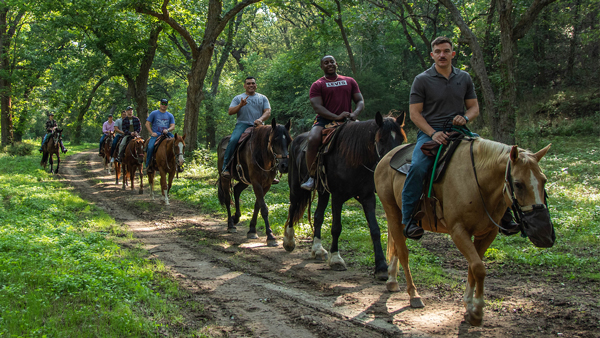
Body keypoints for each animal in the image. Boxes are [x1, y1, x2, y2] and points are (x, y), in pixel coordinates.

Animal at [282, 111, 406, 278]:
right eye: (381, 139)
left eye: (400, 140)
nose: (392, 168)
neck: (354, 158)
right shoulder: (338, 197)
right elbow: (336, 227)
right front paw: (336, 259)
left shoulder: (368, 197)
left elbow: (375, 229)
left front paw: (381, 266)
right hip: (296, 188)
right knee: (293, 208)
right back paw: (289, 241)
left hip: (322, 192)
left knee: (318, 216)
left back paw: (317, 249)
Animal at [376, 139, 552, 326]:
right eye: (518, 184)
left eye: (544, 181)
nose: (544, 234)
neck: (477, 183)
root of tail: (387, 157)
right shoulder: (458, 231)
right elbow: (479, 268)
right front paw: (477, 311)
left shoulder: (487, 234)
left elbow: (473, 267)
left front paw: (469, 306)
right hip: (392, 211)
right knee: (403, 252)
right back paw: (414, 295)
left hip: (401, 218)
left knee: (396, 245)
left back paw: (392, 280)